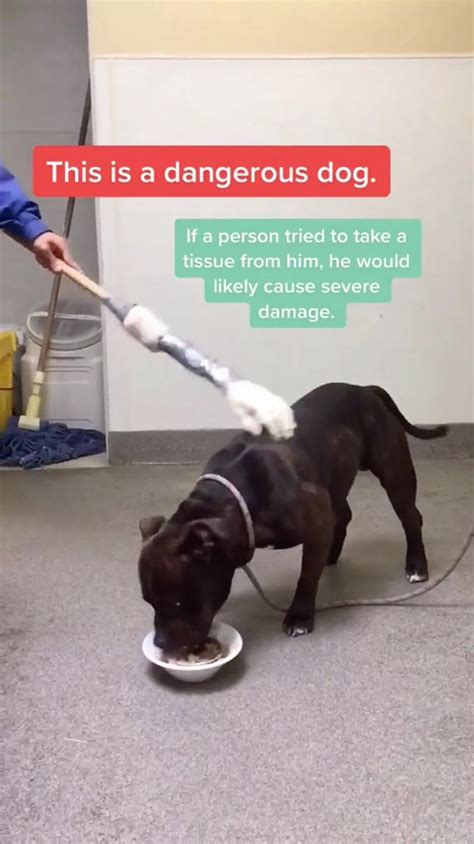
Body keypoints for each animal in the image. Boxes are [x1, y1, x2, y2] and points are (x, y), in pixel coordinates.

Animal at [138, 382, 447, 650]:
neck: (236, 498)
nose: (160, 642)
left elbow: (306, 577)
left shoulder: (316, 516)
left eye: (177, 602)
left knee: (410, 518)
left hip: (394, 474)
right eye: (148, 601)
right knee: (343, 516)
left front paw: (300, 616)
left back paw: (416, 564)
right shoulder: (320, 513)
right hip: (334, 482)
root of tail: (364, 389)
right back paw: (331, 554)